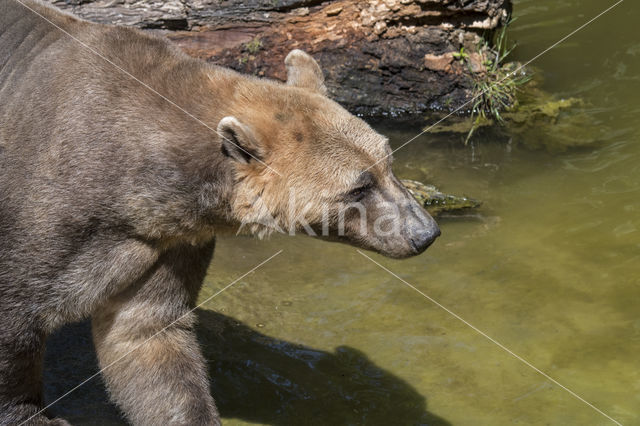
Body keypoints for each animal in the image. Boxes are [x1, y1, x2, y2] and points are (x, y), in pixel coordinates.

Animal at [0, 1, 440, 424]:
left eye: (388, 162)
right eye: (358, 186)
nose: (425, 233)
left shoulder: (167, 240)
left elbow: (148, 335)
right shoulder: (49, 214)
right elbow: (16, 316)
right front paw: (32, 414)